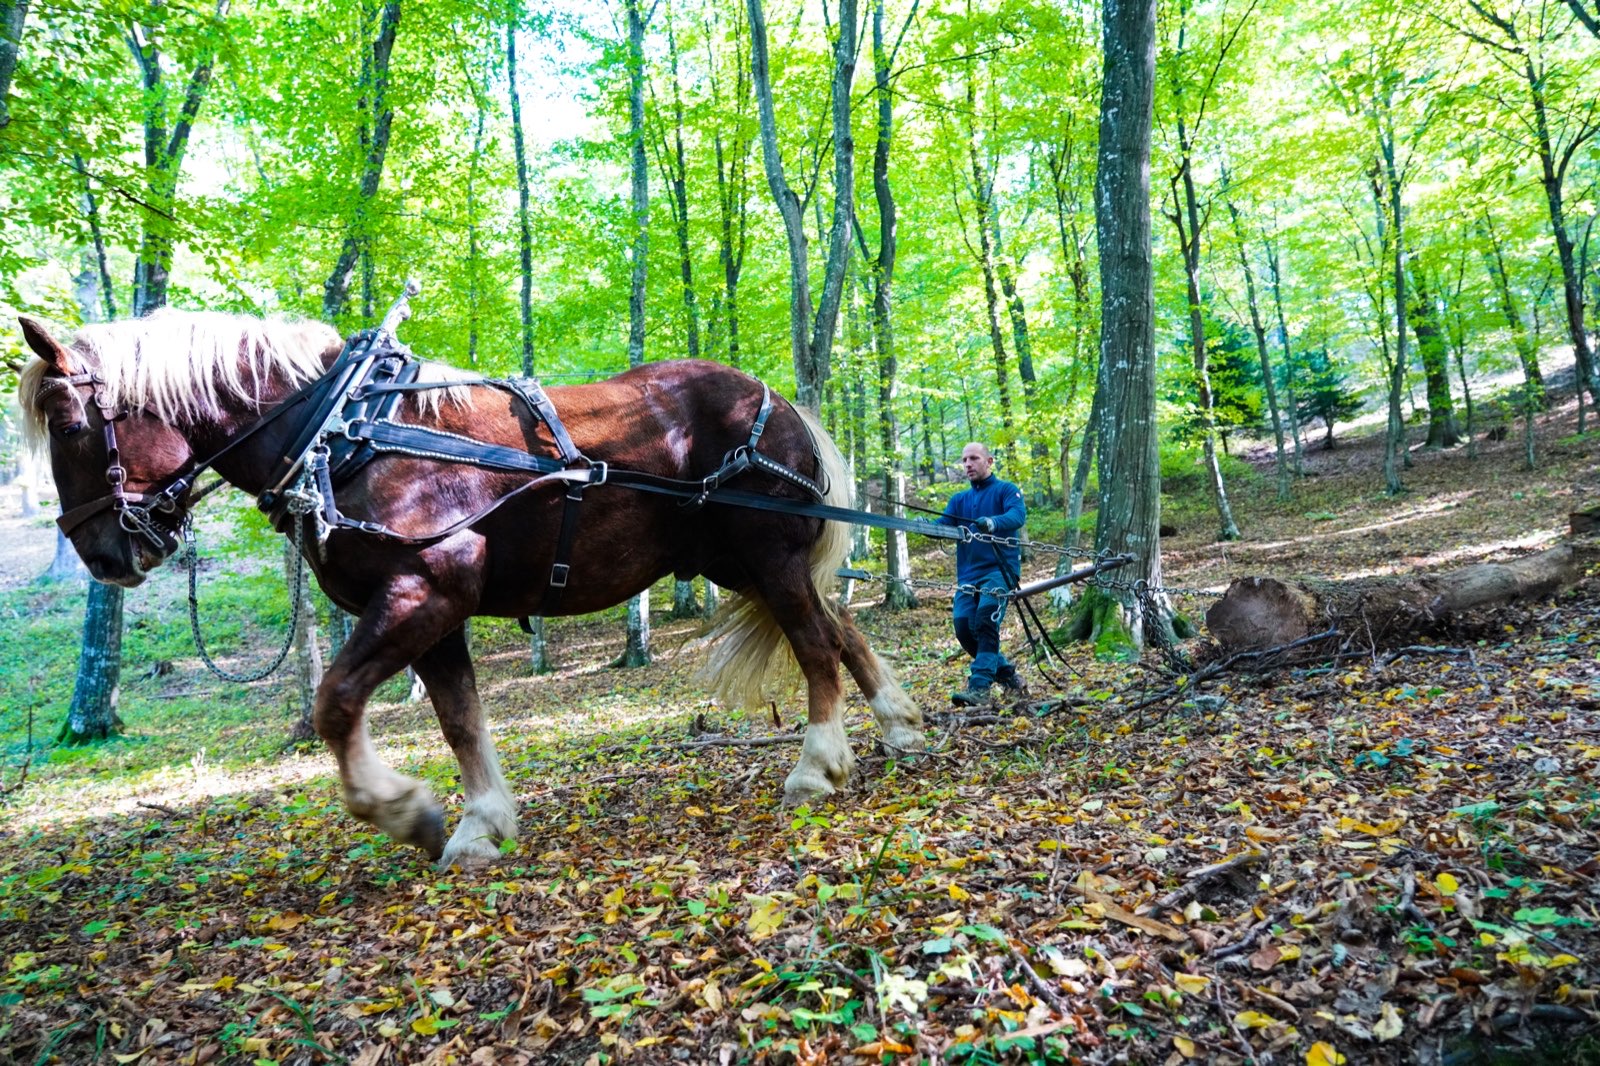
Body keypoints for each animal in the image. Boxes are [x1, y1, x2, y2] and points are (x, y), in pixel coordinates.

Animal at [16, 309, 926, 869]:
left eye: (67, 424)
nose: (101, 554)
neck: (344, 431)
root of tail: (781, 404)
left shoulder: (424, 589)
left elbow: (336, 703)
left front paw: (404, 810)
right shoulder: (433, 610)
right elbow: (460, 720)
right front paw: (480, 826)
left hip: (766, 556)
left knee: (814, 644)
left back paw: (818, 764)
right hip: (744, 563)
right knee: (839, 624)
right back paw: (900, 725)